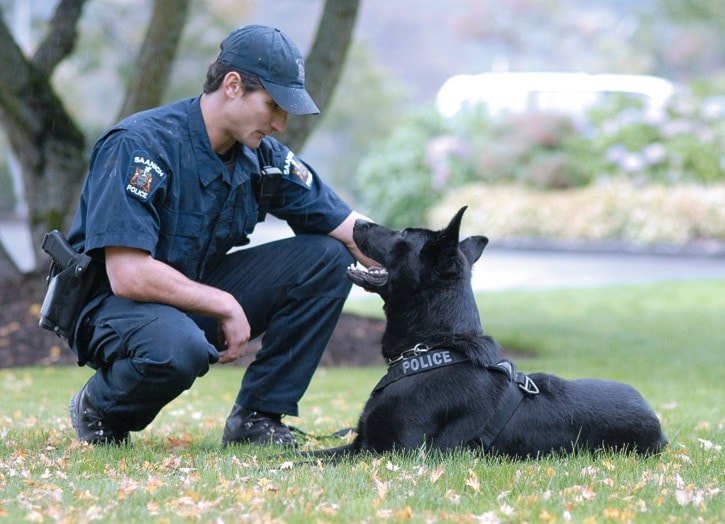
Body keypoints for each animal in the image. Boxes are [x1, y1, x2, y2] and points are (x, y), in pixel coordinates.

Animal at [318, 207, 668, 456]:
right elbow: (315, 455)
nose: (356, 222)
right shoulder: (360, 443)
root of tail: (659, 425)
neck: (430, 351)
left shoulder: (388, 453)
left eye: (403, 233)